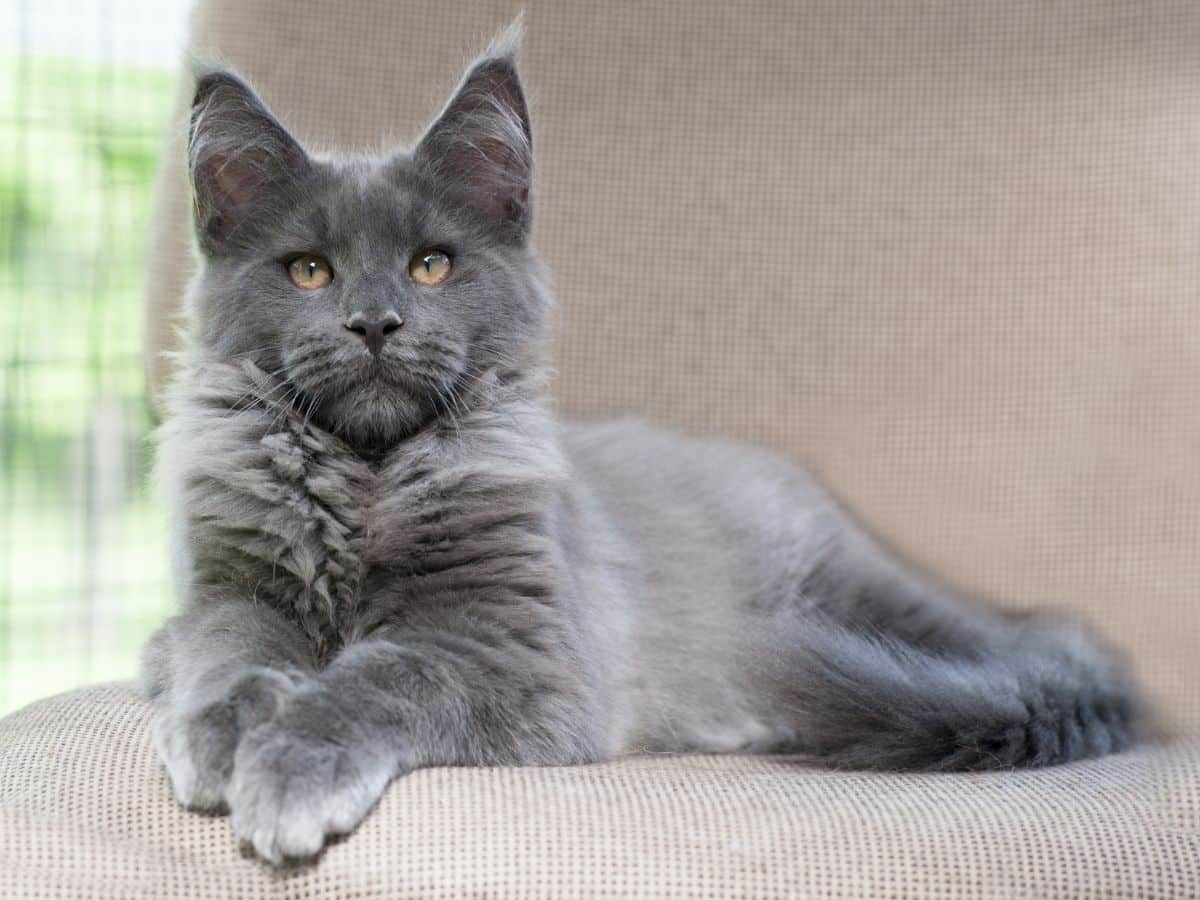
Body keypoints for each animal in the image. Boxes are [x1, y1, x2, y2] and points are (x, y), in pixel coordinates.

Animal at [138, 28, 1132, 868]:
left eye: (432, 265)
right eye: (310, 271)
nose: (375, 322)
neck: (366, 478)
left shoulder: (514, 651)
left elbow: (380, 679)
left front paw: (289, 768)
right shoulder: (228, 587)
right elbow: (226, 653)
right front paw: (223, 736)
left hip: (863, 600)